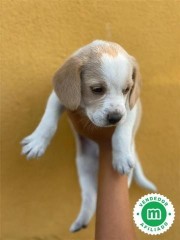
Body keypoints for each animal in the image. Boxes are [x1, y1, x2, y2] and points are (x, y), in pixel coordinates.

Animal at [20, 40, 156, 232]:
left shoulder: (129, 108)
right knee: (90, 197)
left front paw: (120, 157)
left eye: (126, 90)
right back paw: (81, 221)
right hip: (84, 167)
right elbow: (49, 119)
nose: (114, 118)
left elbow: (121, 132)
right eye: (97, 89)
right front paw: (38, 141)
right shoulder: (59, 97)